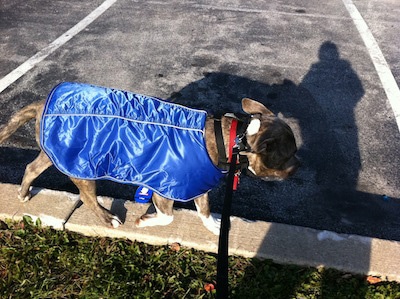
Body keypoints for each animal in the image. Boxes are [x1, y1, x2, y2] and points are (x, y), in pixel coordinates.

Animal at [0, 83, 298, 236]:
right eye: (288, 156)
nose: (298, 167)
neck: (232, 139)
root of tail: (41, 103)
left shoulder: (198, 185)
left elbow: (203, 211)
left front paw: (215, 226)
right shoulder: (164, 190)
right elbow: (167, 217)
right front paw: (144, 222)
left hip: (55, 152)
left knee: (32, 167)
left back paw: (24, 193)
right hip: (82, 166)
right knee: (86, 196)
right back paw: (108, 219)